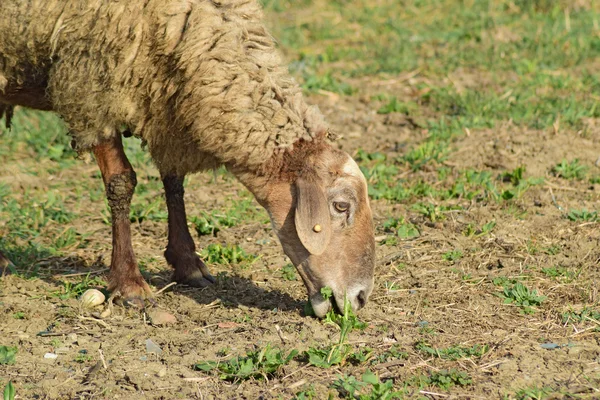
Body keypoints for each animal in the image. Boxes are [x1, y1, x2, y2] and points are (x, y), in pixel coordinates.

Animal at [0, 0, 376, 318]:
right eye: (341, 206)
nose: (360, 298)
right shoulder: (91, 85)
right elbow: (121, 182)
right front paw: (129, 283)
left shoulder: (167, 102)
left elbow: (174, 181)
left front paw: (187, 264)